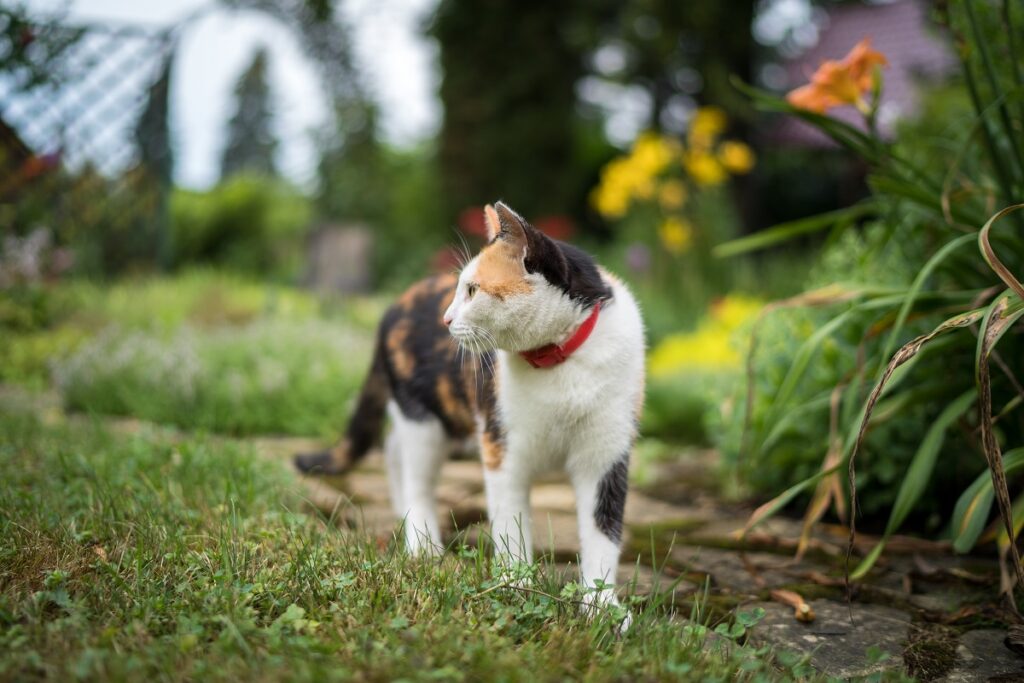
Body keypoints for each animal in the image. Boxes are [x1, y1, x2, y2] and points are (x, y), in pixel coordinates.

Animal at [296, 201, 643, 614]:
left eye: (473, 290)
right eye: (461, 289)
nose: (446, 318)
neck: (558, 362)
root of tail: (392, 307)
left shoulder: (605, 453)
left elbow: (601, 530)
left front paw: (602, 605)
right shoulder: (500, 444)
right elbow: (510, 519)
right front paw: (515, 584)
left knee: (395, 449)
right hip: (424, 417)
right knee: (416, 475)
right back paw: (423, 542)